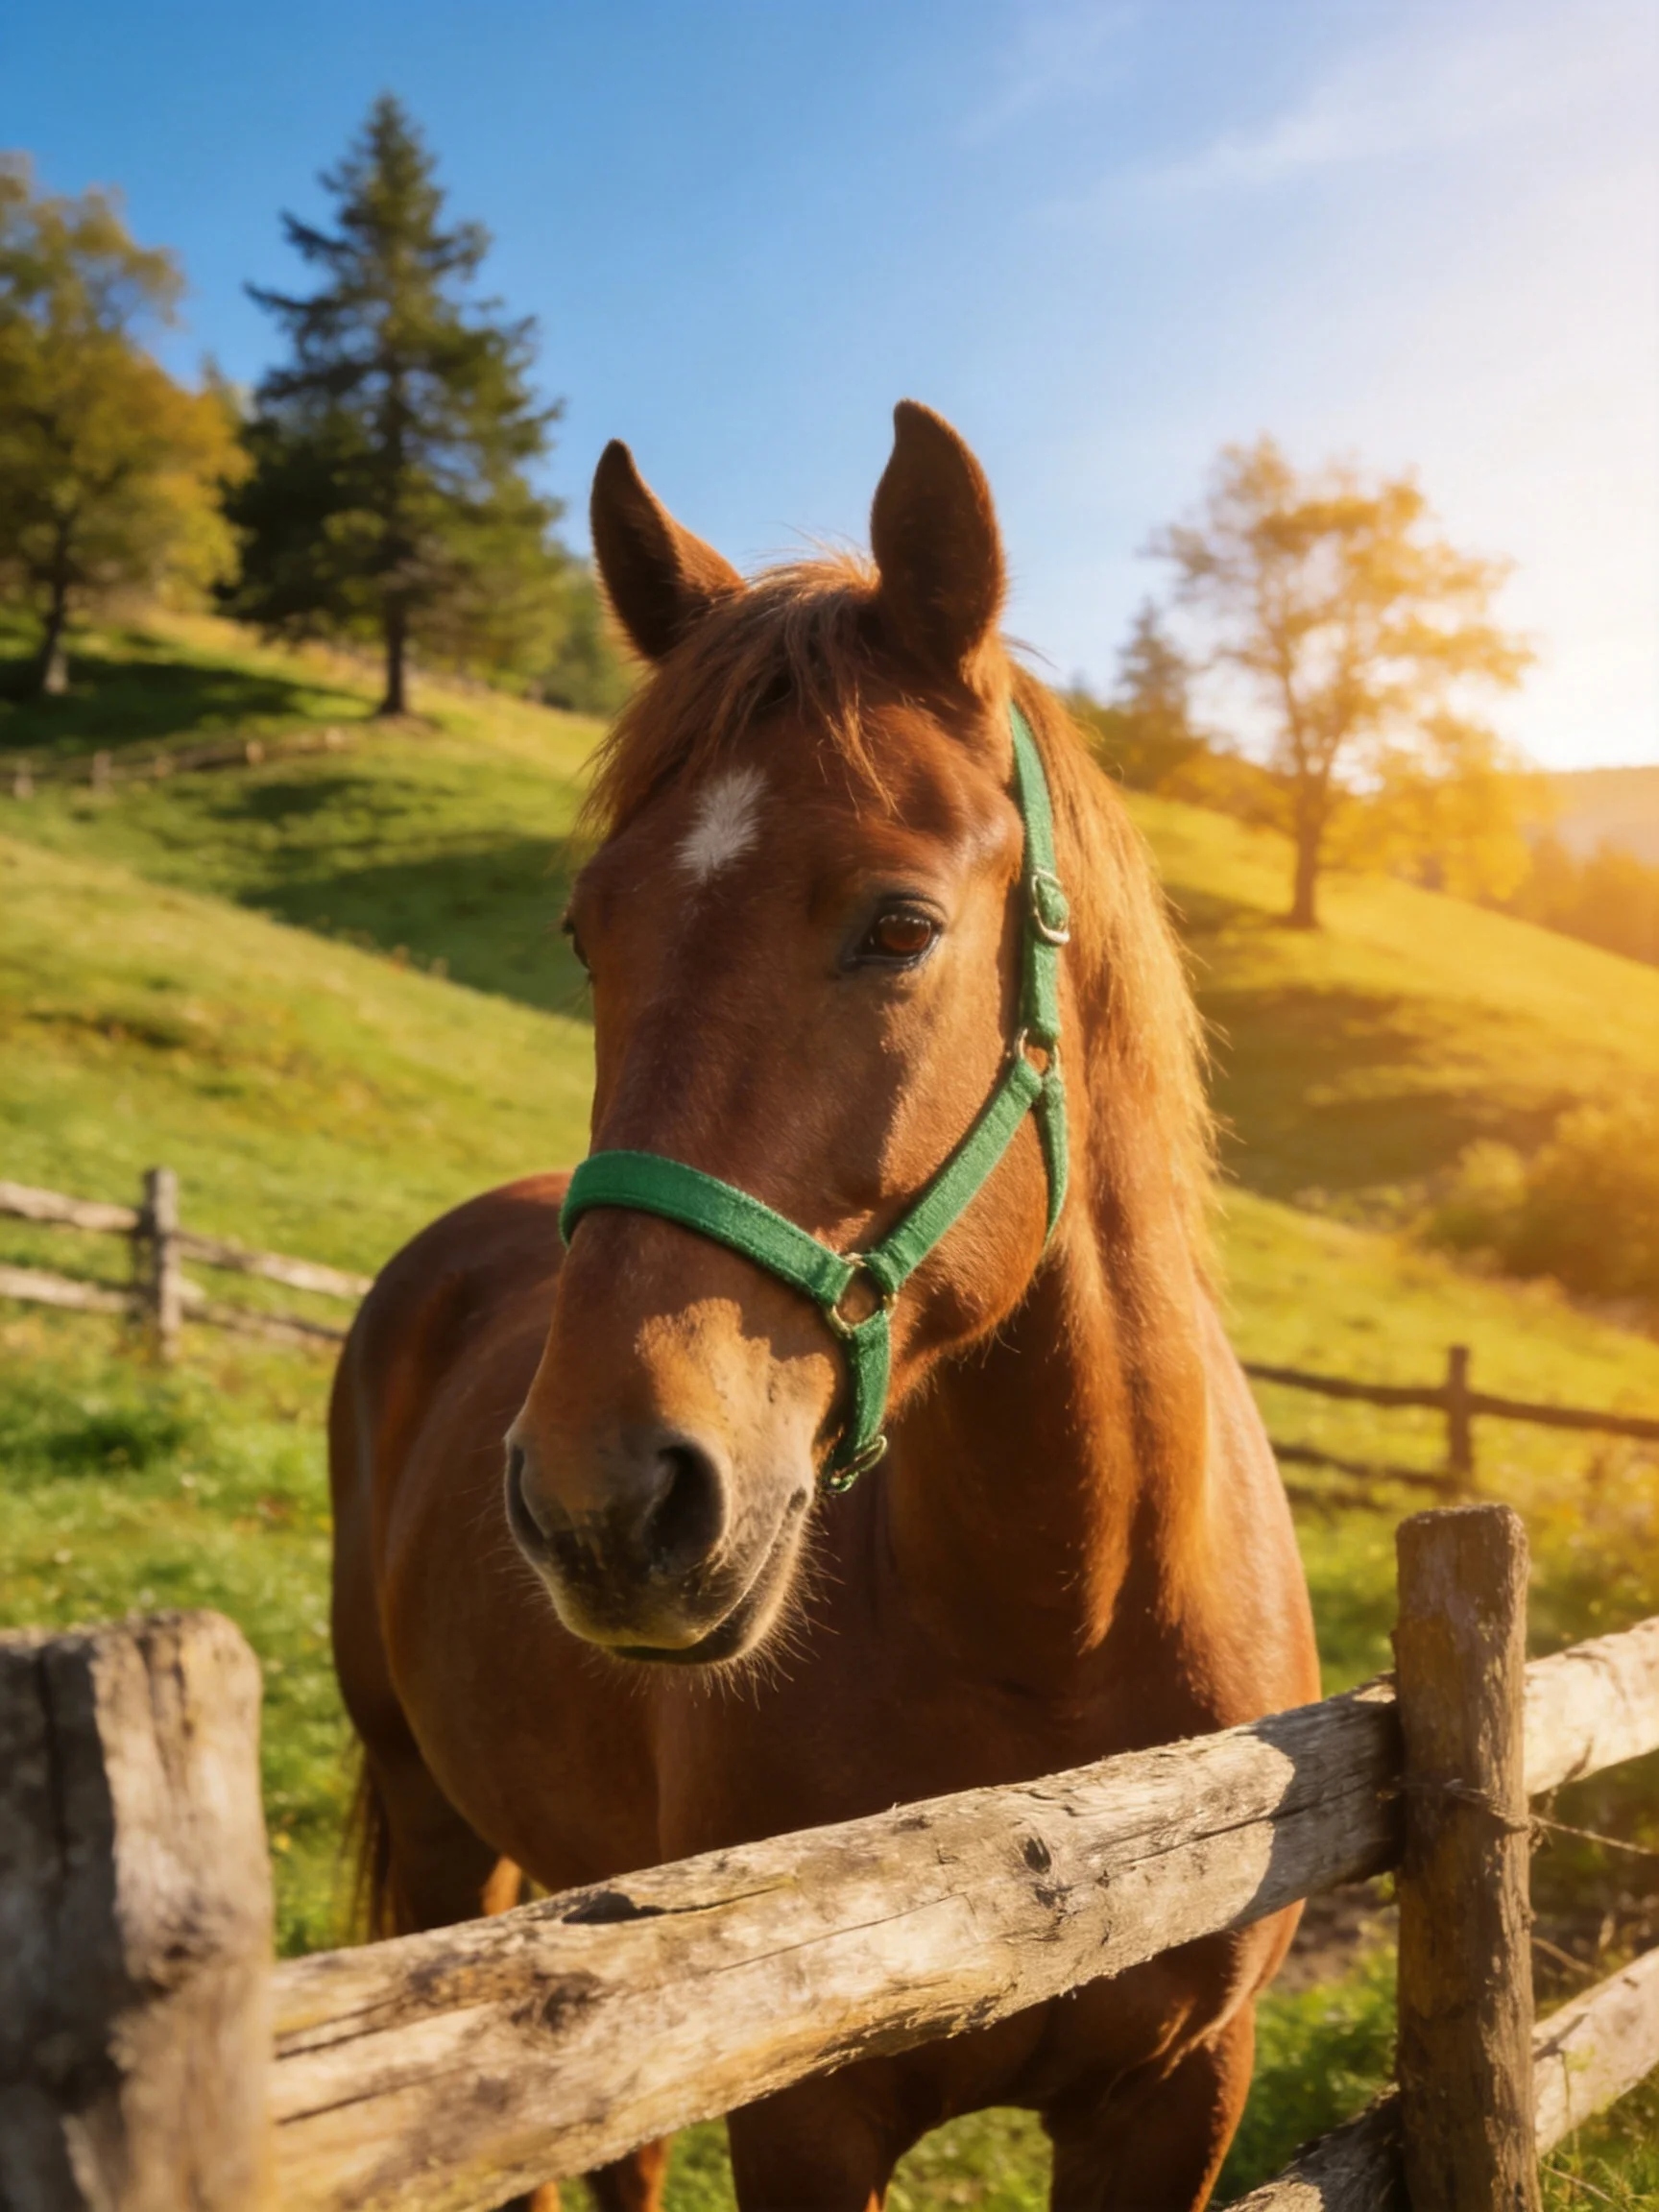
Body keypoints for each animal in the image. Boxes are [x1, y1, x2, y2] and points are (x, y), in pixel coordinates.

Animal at [329, 400, 1320, 2212]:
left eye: (900, 924)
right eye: (586, 932)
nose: (604, 1502)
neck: (1058, 1638)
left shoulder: (1178, 2091)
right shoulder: (802, 2110)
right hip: (439, 1831)